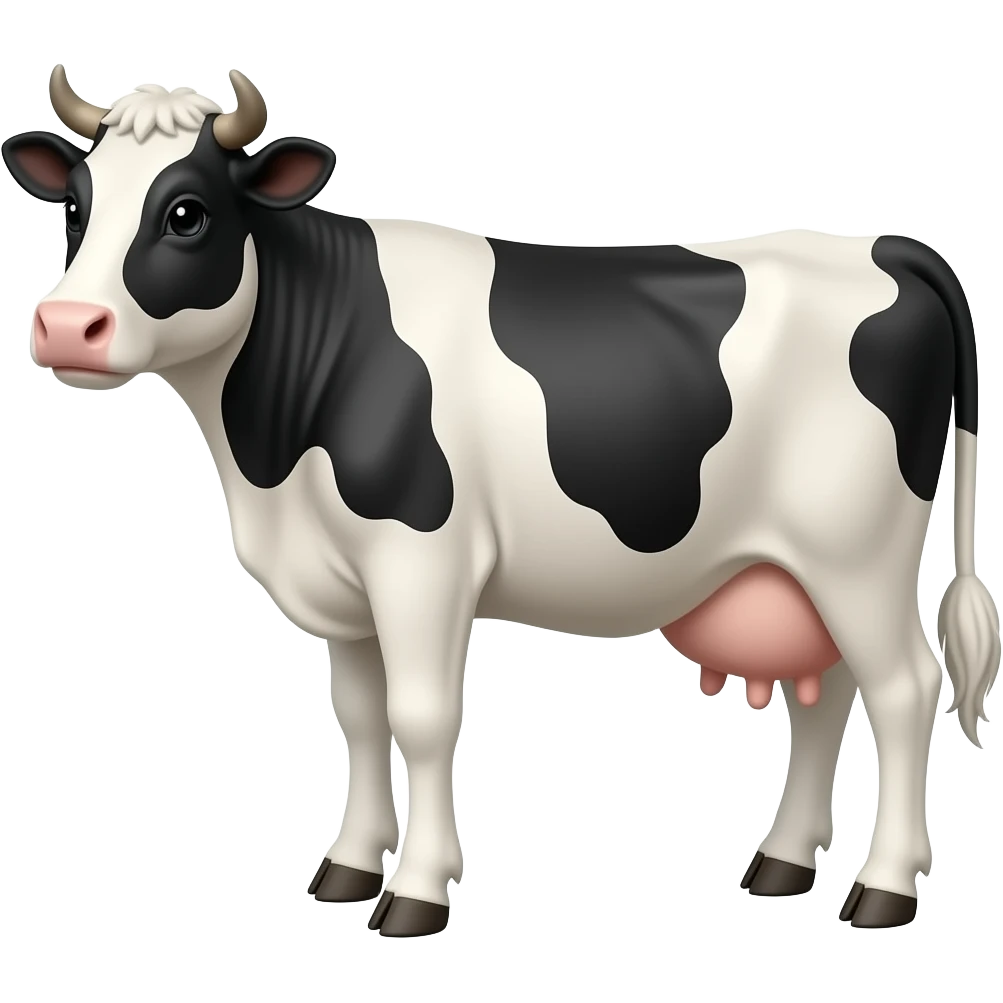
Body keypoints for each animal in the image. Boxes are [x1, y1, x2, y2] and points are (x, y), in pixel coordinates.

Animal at [3, 65, 998, 938]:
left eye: (186, 213)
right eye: (75, 208)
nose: (65, 327)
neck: (271, 456)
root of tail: (880, 244)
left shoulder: (421, 560)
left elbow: (421, 717)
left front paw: (413, 893)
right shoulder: (346, 584)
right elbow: (359, 716)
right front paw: (348, 866)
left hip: (856, 552)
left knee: (904, 689)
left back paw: (883, 889)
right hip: (794, 564)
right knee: (826, 695)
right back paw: (782, 863)